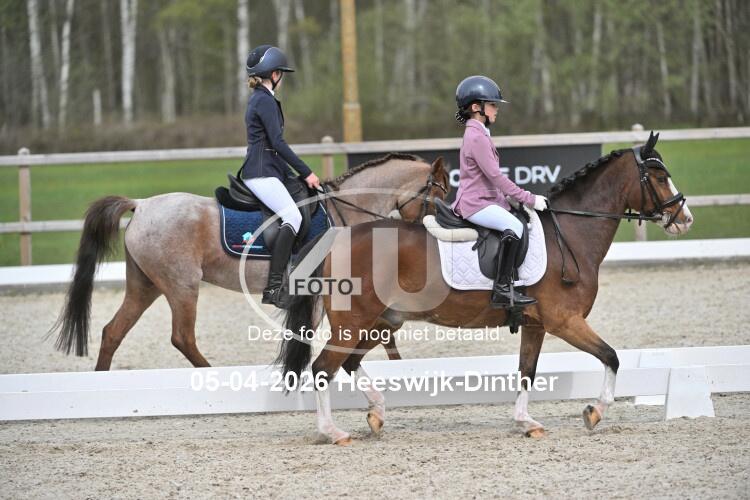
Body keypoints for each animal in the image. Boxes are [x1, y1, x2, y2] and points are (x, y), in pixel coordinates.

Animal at [49, 153, 450, 371]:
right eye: (441, 193)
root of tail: (142, 204)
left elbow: (382, 335)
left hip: (145, 285)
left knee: (112, 332)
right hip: (181, 284)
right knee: (182, 337)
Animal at [277, 132, 694, 445]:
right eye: (659, 177)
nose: (684, 219)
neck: (570, 233)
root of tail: (339, 238)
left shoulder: (536, 324)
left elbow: (527, 371)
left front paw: (526, 422)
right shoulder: (565, 321)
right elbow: (611, 357)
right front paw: (594, 411)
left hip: (382, 321)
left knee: (347, 363)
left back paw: (376, 415)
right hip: (355, 321)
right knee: (323, 368)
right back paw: (332, 432)